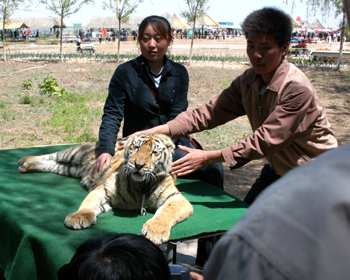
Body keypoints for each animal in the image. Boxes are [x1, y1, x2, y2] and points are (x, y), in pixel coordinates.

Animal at [17, 133, 194, 245]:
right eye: (136, 148)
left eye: (154, 152)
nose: (138, 165)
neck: (142, 185)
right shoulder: (103, 190)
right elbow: (88, 203)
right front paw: (78, 217)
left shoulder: (177, 199)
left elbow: (167, 212)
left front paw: (155, 231)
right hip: (72, 154)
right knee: (51, 155)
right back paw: (23, 161)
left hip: (67, 168)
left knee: (51, 163)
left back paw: (26, 166)